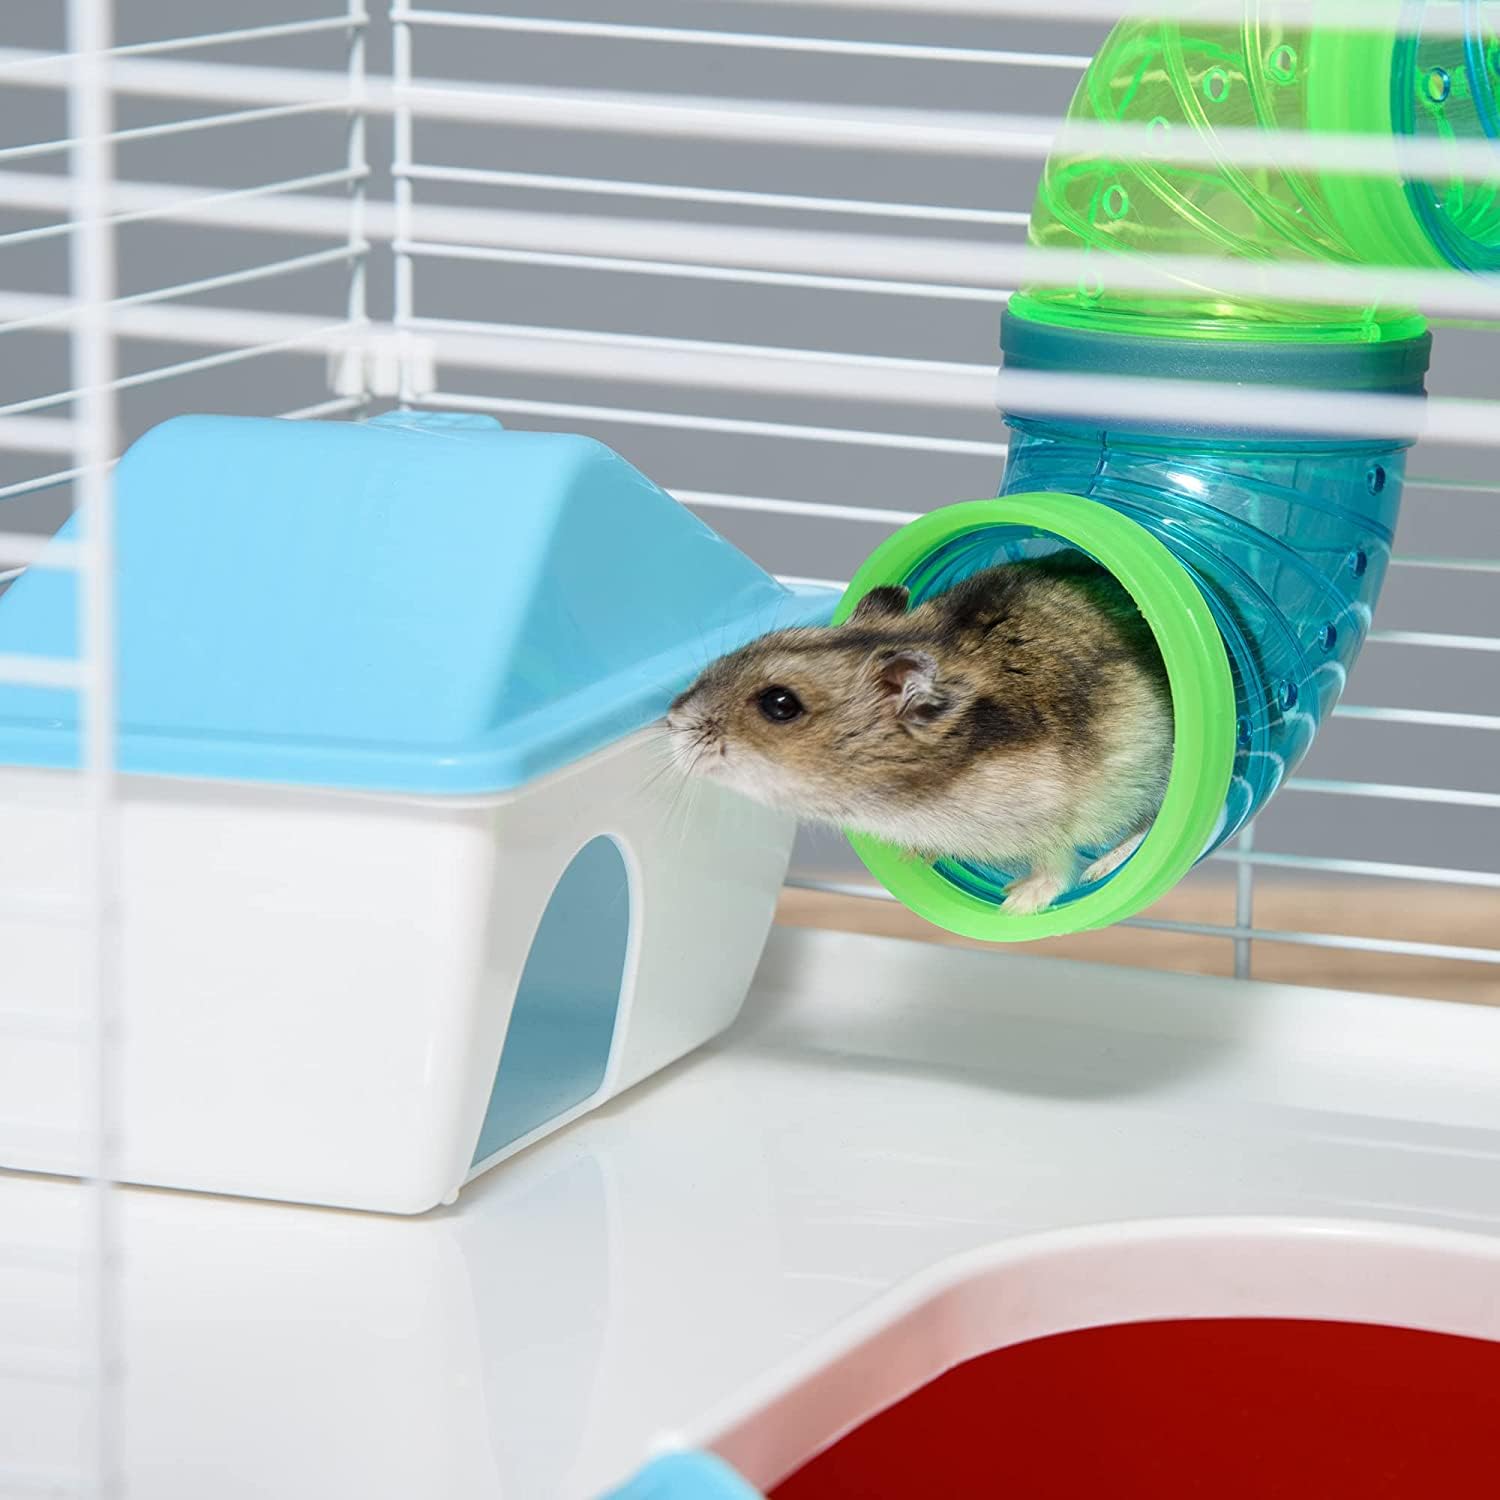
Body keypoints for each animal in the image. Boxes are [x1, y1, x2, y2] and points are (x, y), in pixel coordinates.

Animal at [665, 553, 1172, 914]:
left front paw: (1015, 903)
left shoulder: (1055, 820)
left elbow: (1055, 866)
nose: (671, 718)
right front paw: (914, 856)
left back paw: (1102, 868)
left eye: (780, 704)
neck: (901, 799)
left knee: (1147, 823)